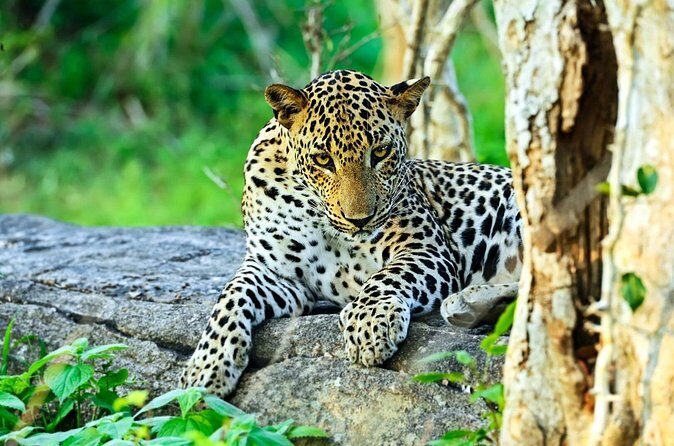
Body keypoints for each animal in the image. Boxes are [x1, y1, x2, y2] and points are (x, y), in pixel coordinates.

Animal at [181, 69, 523, 397]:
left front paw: (369, 323)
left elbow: (389, 275)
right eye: (322, 159)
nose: (360, 219)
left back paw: (466, 303)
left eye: (381, 152)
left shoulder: (426, 248)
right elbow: (231, 296)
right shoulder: (275, 271)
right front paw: (205, 367)